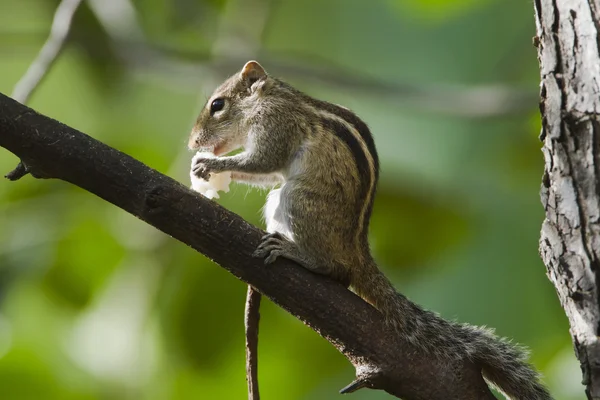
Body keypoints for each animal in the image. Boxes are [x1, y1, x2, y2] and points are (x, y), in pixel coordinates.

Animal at [189, 60, 552, 400]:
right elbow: (266, 172)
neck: (269, 98)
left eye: (217, 105)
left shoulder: (275, 126)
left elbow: (264, 162)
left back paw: (295, 252)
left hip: (298, 200)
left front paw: (213, 165)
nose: (192, 143)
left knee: (336, 269)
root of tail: (357, 249)